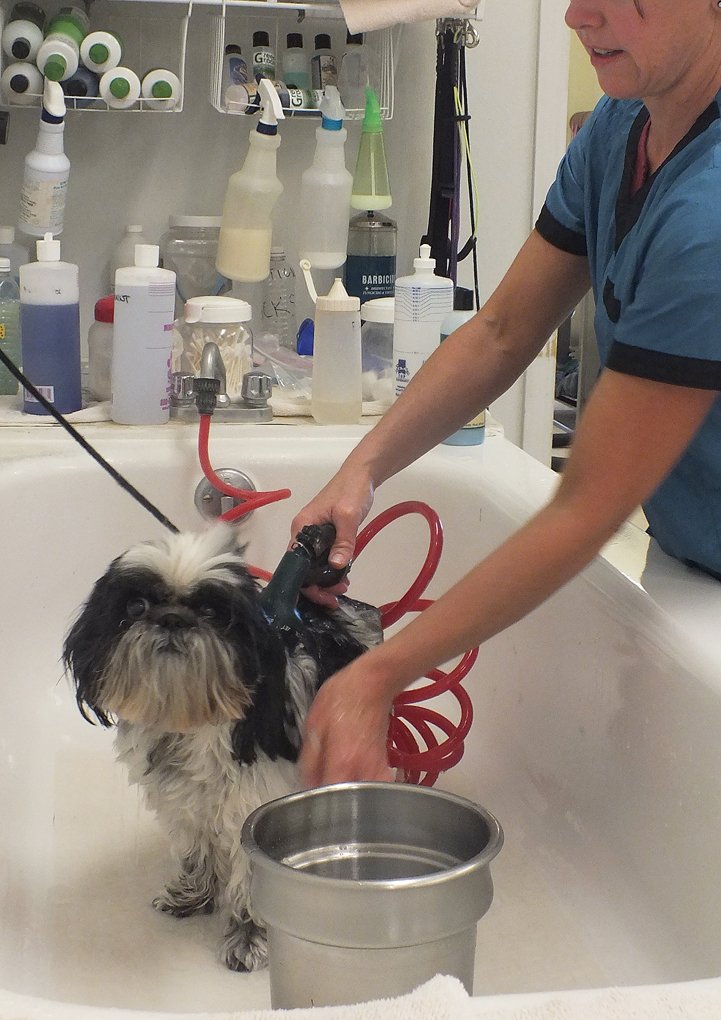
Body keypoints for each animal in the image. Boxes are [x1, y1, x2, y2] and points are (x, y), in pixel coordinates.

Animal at [63, 526, 383, 971]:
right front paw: (193, 897)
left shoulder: (253, 806)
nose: (173, 619)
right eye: (137, 605)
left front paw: (249, 936)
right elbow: (197, 848)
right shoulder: (183, 801)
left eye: (213, 613)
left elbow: (250, 878)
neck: (190, 723)